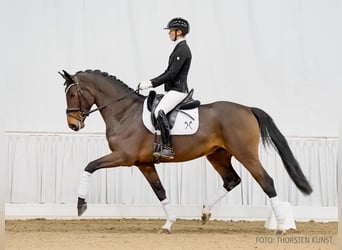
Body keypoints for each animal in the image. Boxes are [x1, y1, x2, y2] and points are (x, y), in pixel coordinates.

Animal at [59, 69, 312, 233]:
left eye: (72, 94)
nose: (73, 125)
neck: (124, 112)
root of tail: (247, 109)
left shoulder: (123, 157)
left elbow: (89, 166)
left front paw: (81, 205)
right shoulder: (144, 164)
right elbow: (160, 192)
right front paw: (168, 224)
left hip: (246, 154)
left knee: (266, 181)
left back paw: (281, 227)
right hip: (217, 155)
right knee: (232, 180)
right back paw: (205, 213)